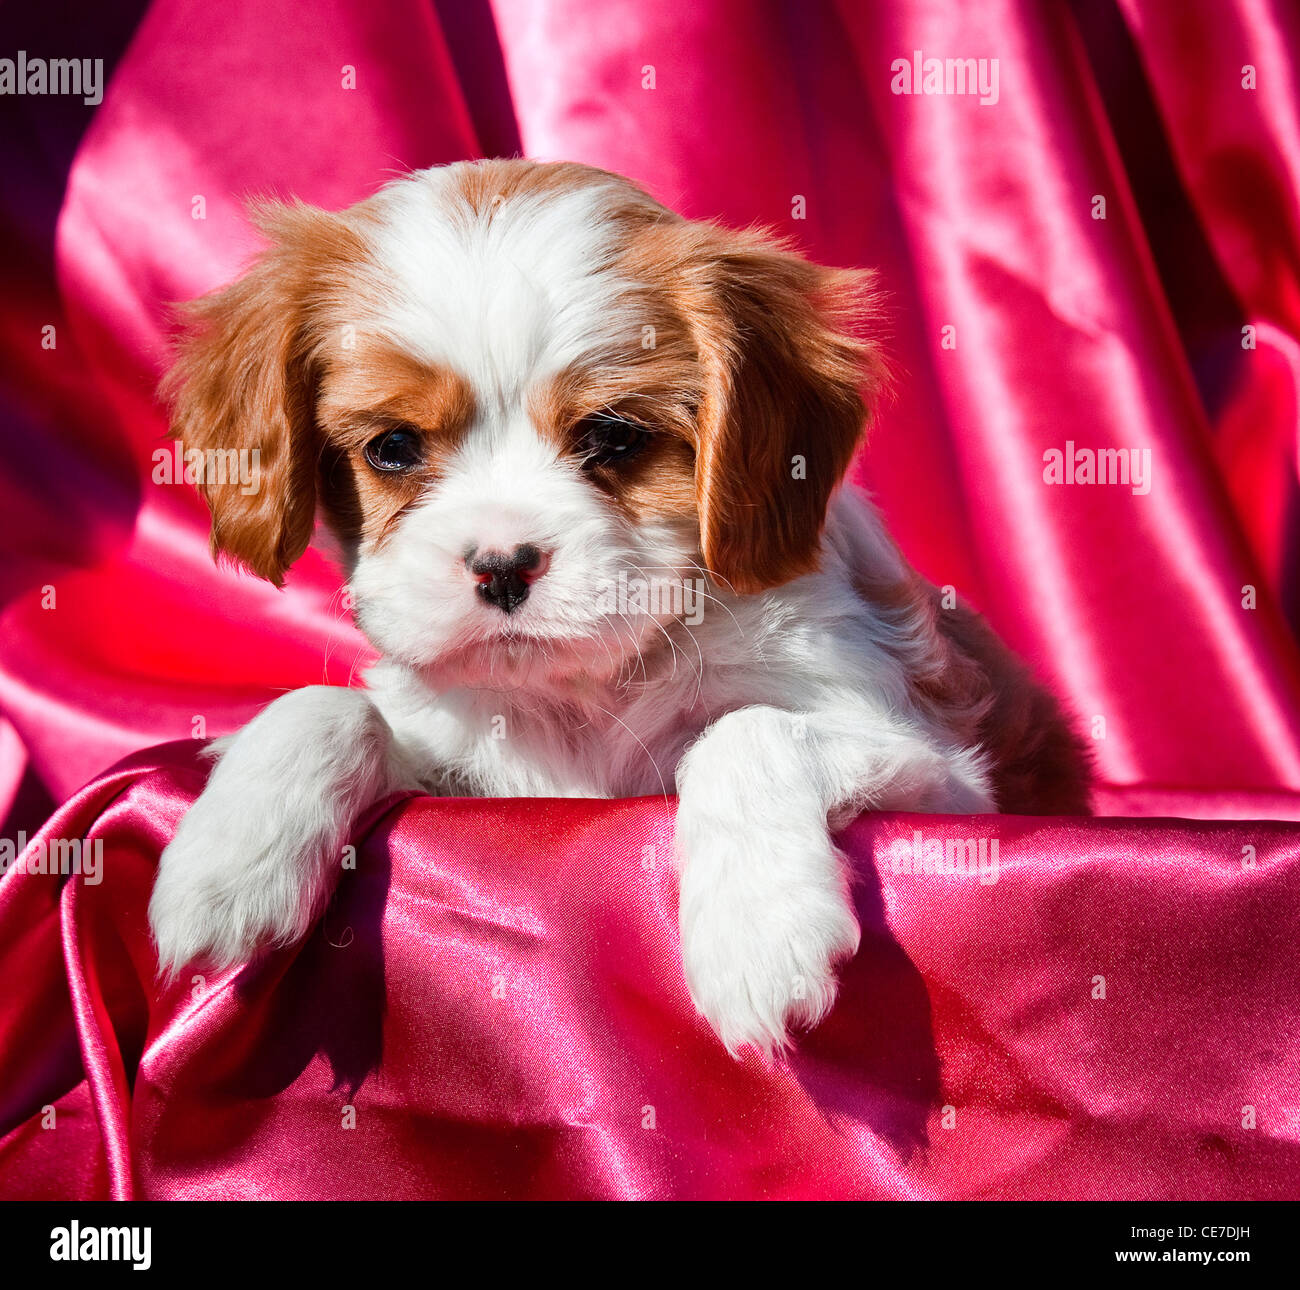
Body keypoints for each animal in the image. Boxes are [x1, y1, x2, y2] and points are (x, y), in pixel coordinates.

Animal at [147, 156, 1092, 1050]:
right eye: (392, 448)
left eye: (611, 436)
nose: (501, 565)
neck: (585, 689)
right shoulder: (468, 767)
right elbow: (324, 706)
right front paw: (223, 866)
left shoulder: (940, 771)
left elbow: (744, 731)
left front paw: (758, 929)